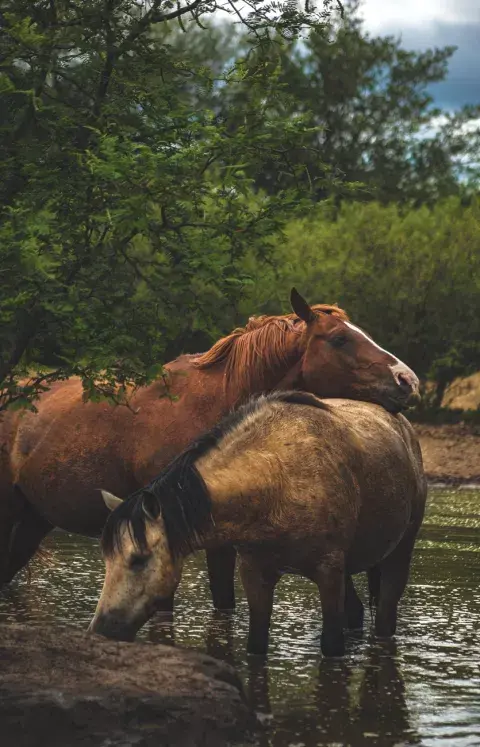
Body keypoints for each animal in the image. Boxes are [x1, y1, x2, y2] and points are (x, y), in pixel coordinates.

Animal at [89, 390, 427, 657]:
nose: (101, 630)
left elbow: (332, 645)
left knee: (385, 615)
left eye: (138, 559)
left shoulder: (329, 573)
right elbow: (256, 644)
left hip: (398, 555)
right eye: (106, 559)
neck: (279, 479)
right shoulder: (256, 573)